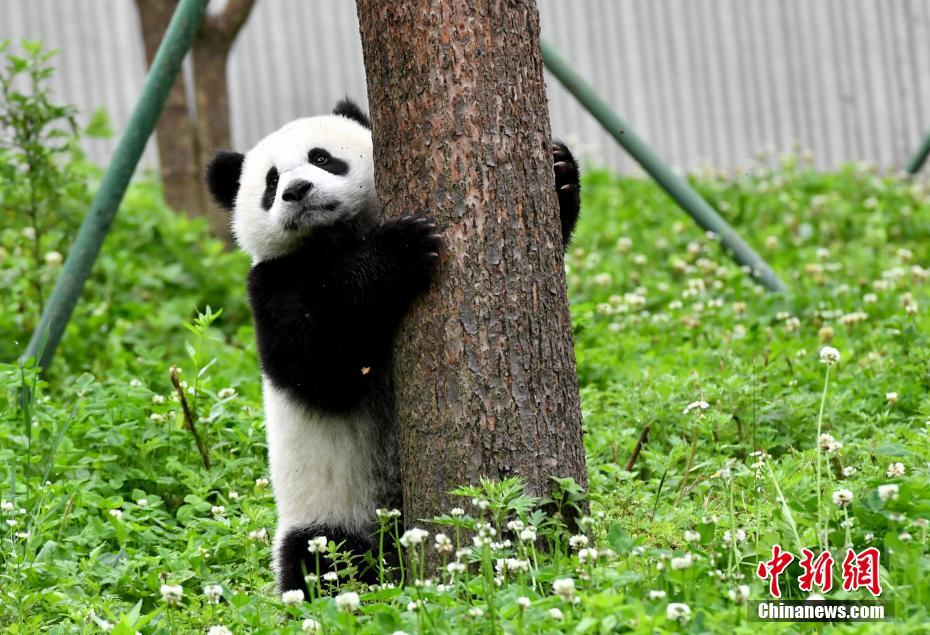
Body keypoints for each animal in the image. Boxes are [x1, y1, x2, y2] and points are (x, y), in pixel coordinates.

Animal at [204, 99, 580, 596]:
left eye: (321, 157)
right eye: (270, 182)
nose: (297, 190)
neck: (334, 239)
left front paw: (559, 170)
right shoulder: (269, 284)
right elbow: (318, 367)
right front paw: (397, 250)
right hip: (330, 517)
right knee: (320, 559)